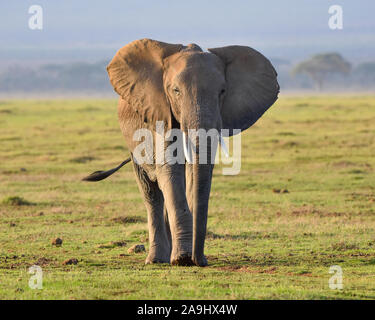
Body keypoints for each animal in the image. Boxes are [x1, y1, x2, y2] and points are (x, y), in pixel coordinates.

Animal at [84, 38, 280, 266]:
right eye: (176, 91)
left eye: (222, 91)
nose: (200, 260)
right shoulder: (159, 113)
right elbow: (169, 169)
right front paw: (183, 259)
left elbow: (195, 173)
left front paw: (186, 257)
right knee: (150, 192)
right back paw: (156, 259)